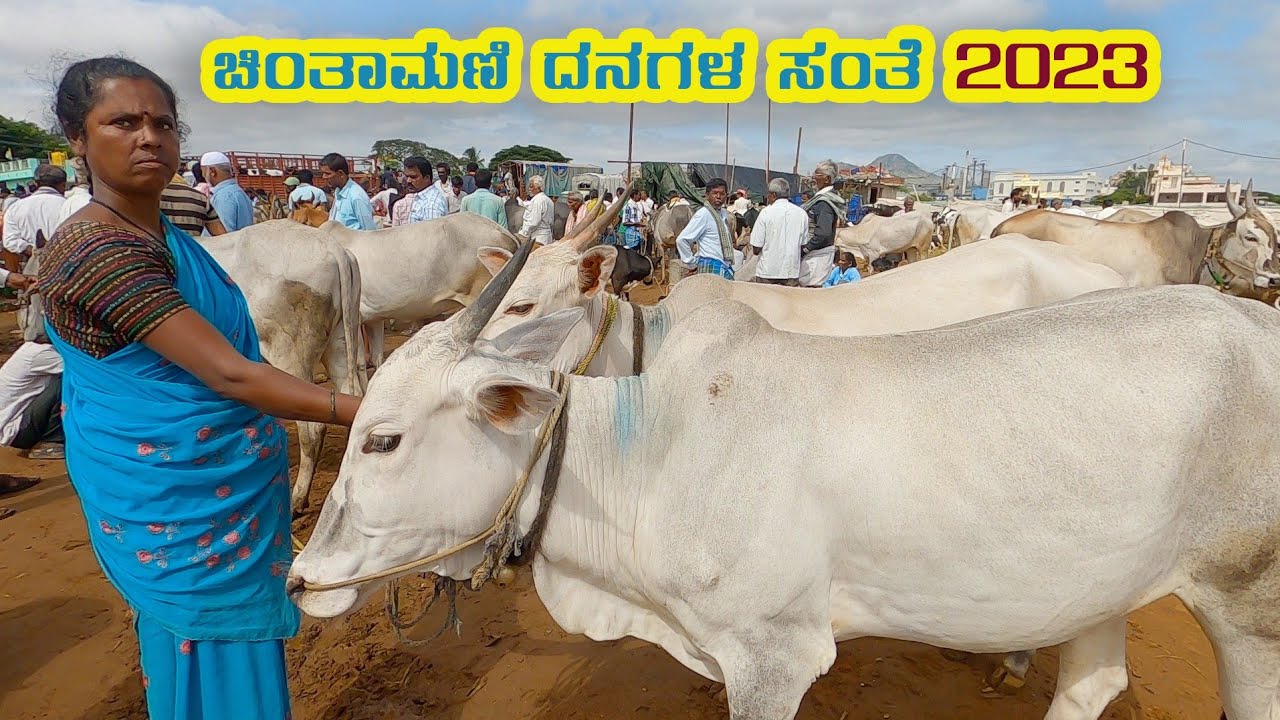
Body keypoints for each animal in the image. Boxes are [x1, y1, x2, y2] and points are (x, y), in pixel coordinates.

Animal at [290, 244, 1280, 720]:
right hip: (1096, 579)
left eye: (382, 440)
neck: (648, 445)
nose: (300, 579)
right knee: (1091, 684)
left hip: (1248, 613)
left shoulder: (776, 657)